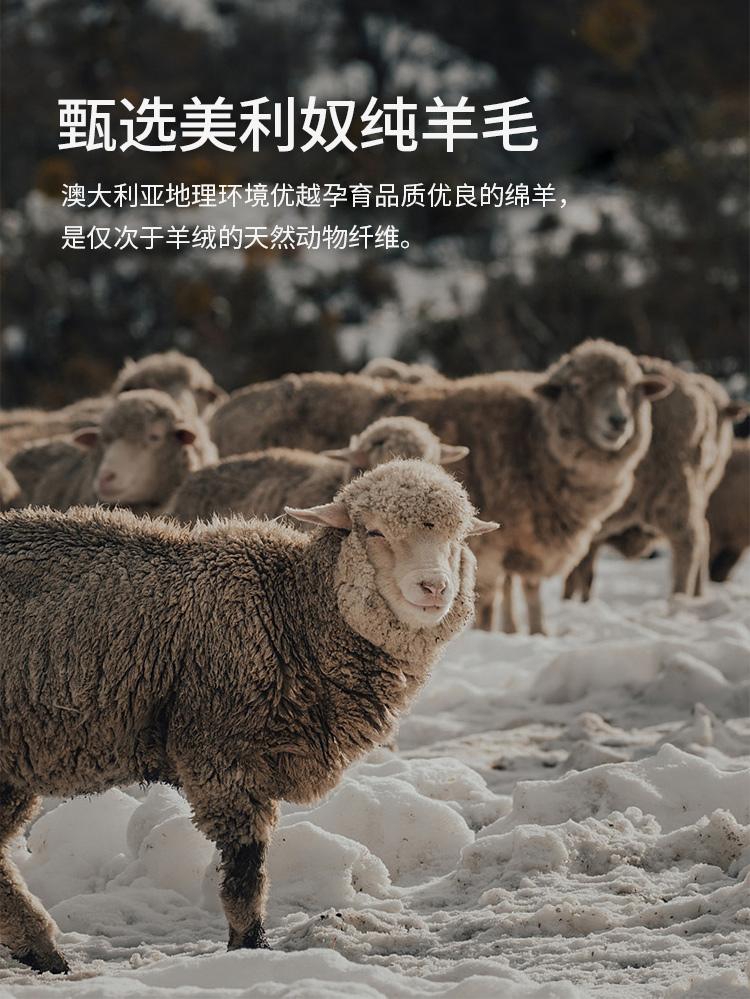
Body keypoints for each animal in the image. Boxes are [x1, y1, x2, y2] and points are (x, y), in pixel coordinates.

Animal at [0, 460, 498, 973]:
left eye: (459, 537)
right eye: (374, 531)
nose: (434, 587)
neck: (292, 613)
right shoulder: (221, 757)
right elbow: (246, 872)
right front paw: (250, 948)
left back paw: (40, 948)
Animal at [209, 340, 670, 633]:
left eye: (633, 391)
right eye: (575, 387)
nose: (618, 423)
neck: (532, 437)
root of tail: (227, 406)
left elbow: (525, 590)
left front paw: (531, 633)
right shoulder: (497, 547)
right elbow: (497, 593)